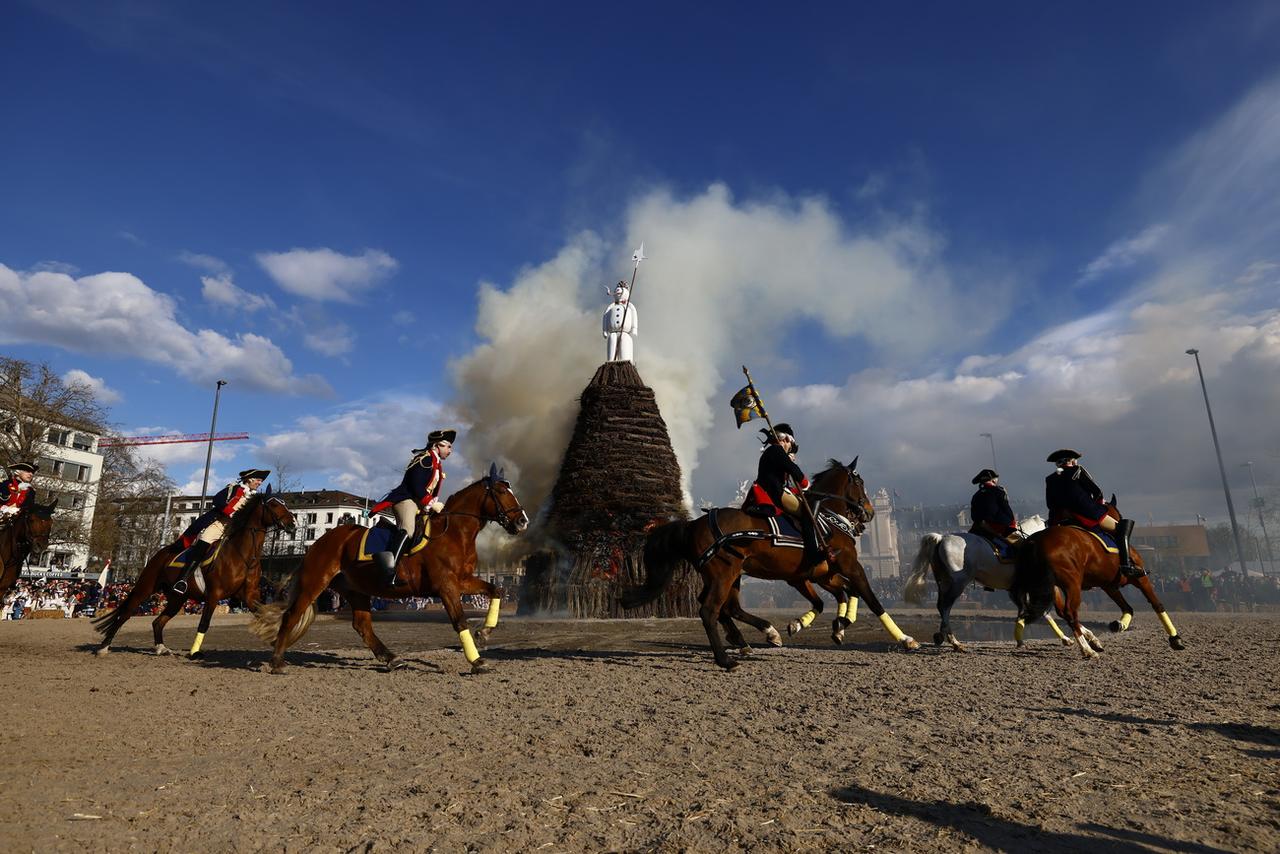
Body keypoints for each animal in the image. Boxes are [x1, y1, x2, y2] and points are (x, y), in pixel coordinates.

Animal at [93, 491, 296, 660]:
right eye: (274, 504)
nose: (293, 523)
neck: (243, 555)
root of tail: (161, 553)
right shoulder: (214, 595)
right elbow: (204, 623)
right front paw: (195, 652)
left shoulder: (249, 596)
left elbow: (265, 616)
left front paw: (278, 644)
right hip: (145, 588)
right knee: (125, 615)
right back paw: (103, 647)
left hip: (177, 599)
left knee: (158, 622)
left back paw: (161, 648)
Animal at [247, 468, 527, 676]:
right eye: (501, 491)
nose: (522, 521)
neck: (454, 533)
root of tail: (319, 542)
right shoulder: (446, 585)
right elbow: (459, 621)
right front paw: (477, 660)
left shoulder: (463, 581)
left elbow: (496, 589)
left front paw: (485, 631)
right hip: (315, 583)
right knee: (291, 616)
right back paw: (277, 661)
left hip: (356, 589)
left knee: (362, 625)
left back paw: (391, 658)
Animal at [619, 458, 921, 670]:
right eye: (859, 484)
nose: (869, 512)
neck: (825, 519)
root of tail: (693, 524)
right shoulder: (850, 567)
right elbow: (871, 599)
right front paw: (904, 639)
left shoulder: (812, 575)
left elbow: (836, 597)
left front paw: (829, 625)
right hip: (725, 573)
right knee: (710, 610)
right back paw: (727, 659)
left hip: (730, 574)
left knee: (726, 607)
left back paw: (756, 638)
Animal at [906, 517, 1075, 650]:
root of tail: (942, 538)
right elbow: (1043, 612)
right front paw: (1066, 638)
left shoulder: (1017, 591)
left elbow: (1028, 612)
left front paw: (1020, 639)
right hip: (958, 584)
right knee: (945, 606)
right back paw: (954, 641)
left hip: (944, 583)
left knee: (941, 606)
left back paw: (942, 635)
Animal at [1018, 501, 1187, 660]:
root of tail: (1035, 542)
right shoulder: (1140, 579)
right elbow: (1156, 604)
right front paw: (1175, 638)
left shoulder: (1109, 586)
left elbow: (1128, 608)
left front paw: (1119, 625)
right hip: (1071, 584)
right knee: (1069, 613)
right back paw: (1087, 649)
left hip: (1052, 586)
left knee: (1059, 612)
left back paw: (1088, 641)